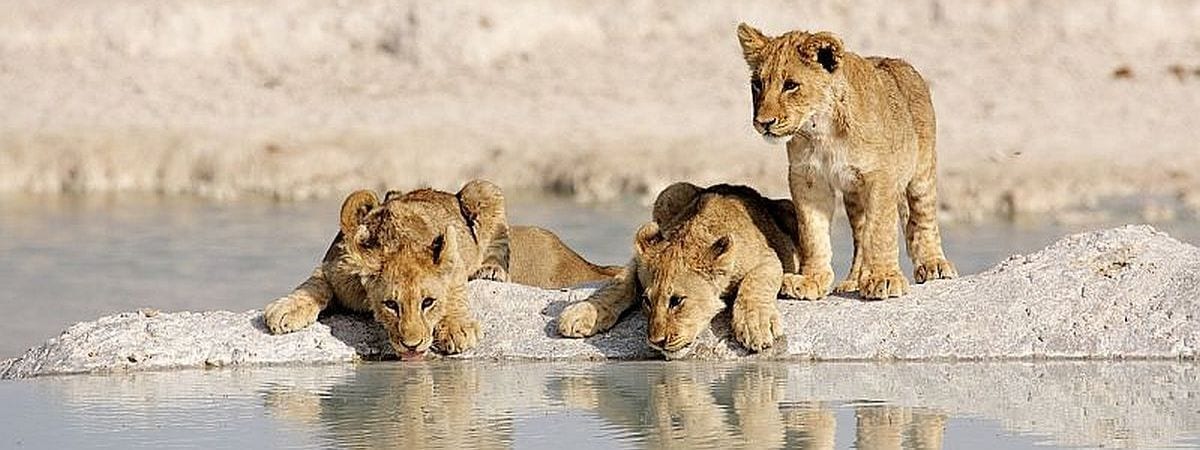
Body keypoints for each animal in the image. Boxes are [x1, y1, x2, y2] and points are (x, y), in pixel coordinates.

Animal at [263, 180, 618, 360]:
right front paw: (285, 309)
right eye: (390, 305)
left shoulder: (454, 257)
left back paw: (491, 270)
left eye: (428, 302)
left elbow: (456, 288)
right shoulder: (331, 268)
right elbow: (311, 286)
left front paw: (457, 327)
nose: (412, 345)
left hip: (482, 189)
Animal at [557, 182, 804, 357]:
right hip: (670, 192)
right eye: (647, 300)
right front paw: (581, 313)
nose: (656, 342)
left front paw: (756, 326)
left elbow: (756, 282)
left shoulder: (768, 258)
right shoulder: (639, 260)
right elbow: (618, 284)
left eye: (676, 301)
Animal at [736, 24, 957, 300]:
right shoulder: (808, 179)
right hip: (854, 195)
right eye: (757, 84)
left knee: (923, 217)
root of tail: (900, 62)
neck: (822, 130)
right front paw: (810, 280)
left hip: (921, 172)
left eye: (791, 85)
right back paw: (854, 280)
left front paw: (884, 278)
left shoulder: (880, 175)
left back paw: (933, 264)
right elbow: (813, 233)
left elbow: (880, 229)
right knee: (861, 235)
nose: (763, 122)